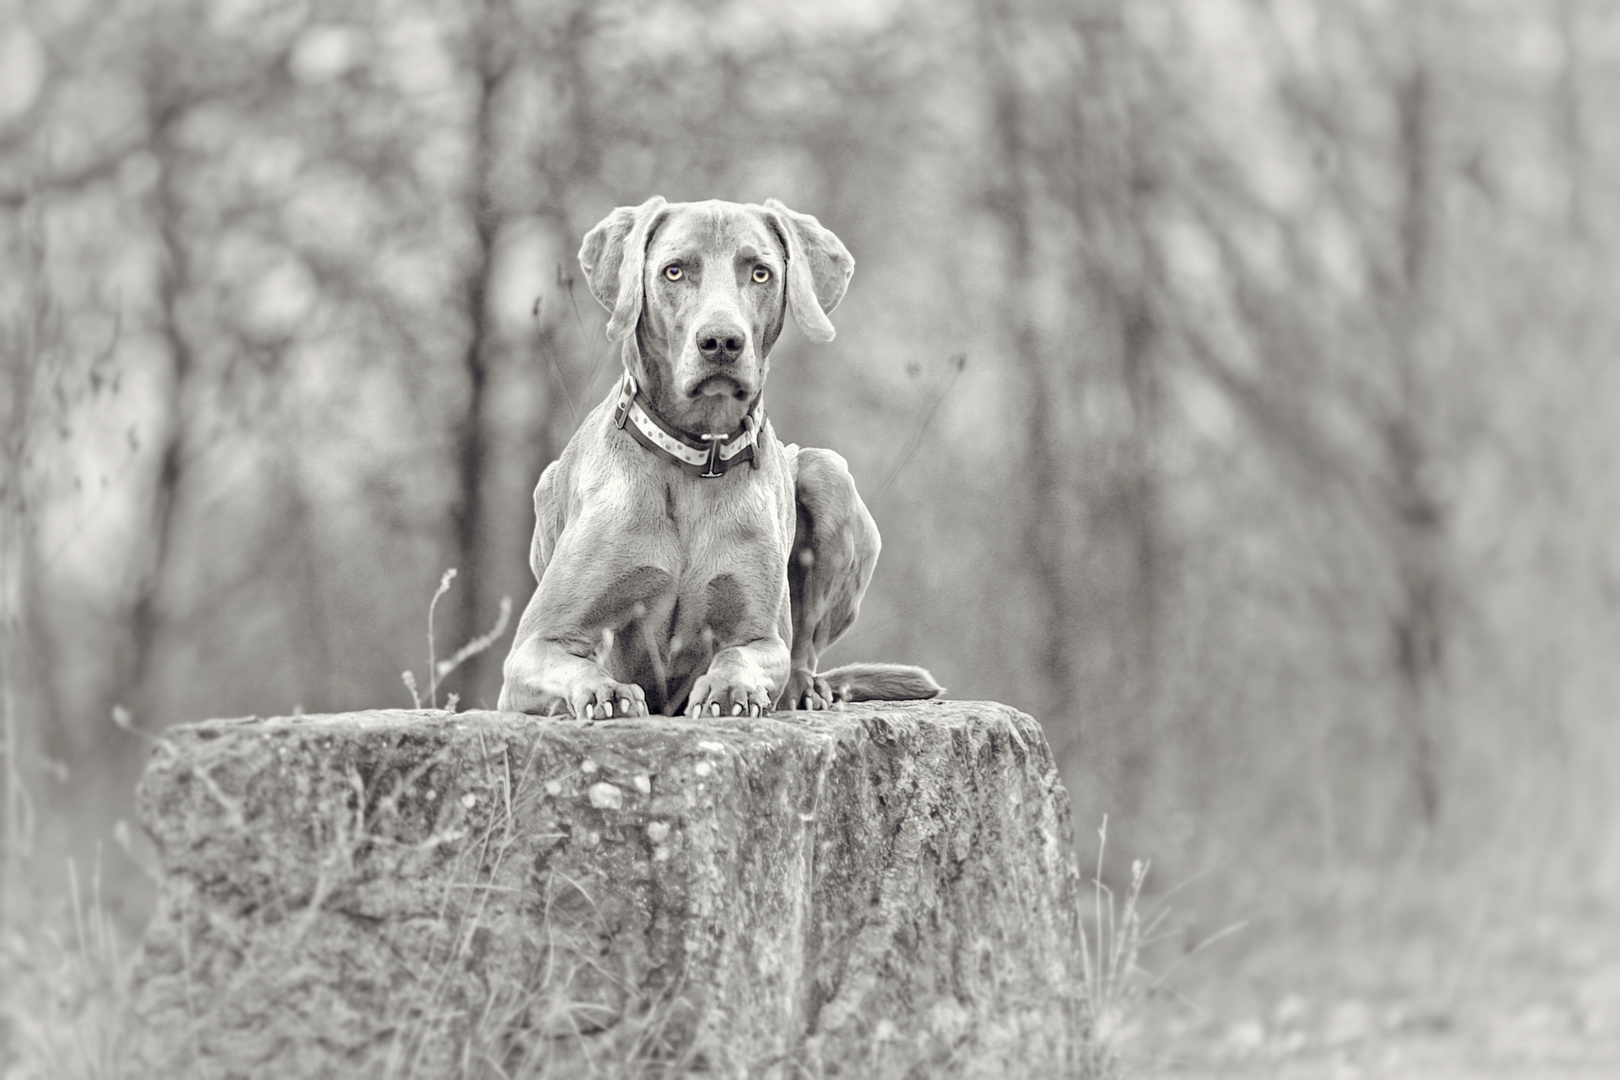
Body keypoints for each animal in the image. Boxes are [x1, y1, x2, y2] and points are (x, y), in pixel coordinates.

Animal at [498, 198, 946, 722]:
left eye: (760, 273)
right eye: (674, 271)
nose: (721, 342)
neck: (695, 454)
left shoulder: (762, 637)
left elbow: (744, 655)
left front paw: (729, 689)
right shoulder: (534, 648)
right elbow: (574, 665)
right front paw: (605, 692)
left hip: (827, 472)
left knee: (803, 652)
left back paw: (806, 688)